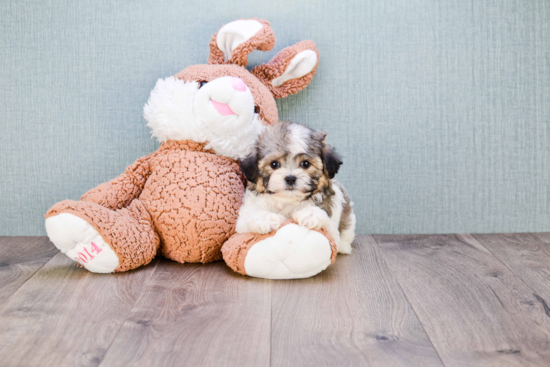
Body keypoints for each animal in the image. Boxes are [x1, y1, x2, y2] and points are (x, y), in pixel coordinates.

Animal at [237, 122, 358, 254]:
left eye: (305, 164)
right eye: (274, 164)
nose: (290, 178)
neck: (288, 200)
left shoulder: (333, 232)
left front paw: (310, 214)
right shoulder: (242, 222)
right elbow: (248, 218)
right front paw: (265, 219)